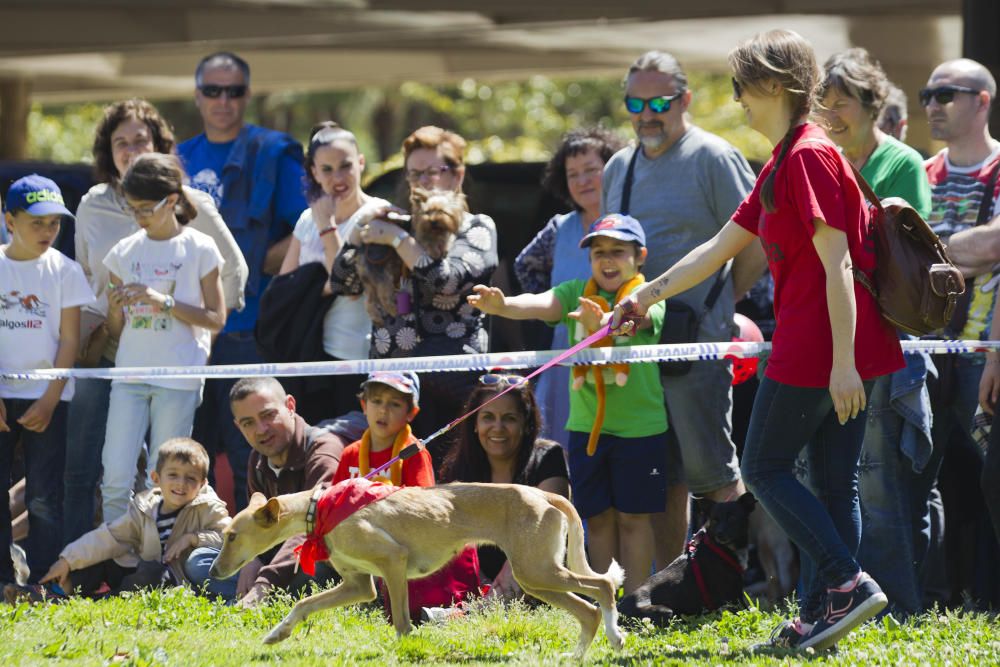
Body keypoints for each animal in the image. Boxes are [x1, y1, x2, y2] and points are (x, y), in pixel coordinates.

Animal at [356, 188, 468, 326]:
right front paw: (434, 250)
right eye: (427, 212)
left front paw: (444, 248)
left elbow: (445, 242)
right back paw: (393, 310)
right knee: (383, 294)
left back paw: (377, 318)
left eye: (442, 211)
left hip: (372, 278)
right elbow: (428, 243)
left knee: (369, 301)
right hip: (380, 273)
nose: (433, 221)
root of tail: (362, 250)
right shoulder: (421, 237)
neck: (435, 231)